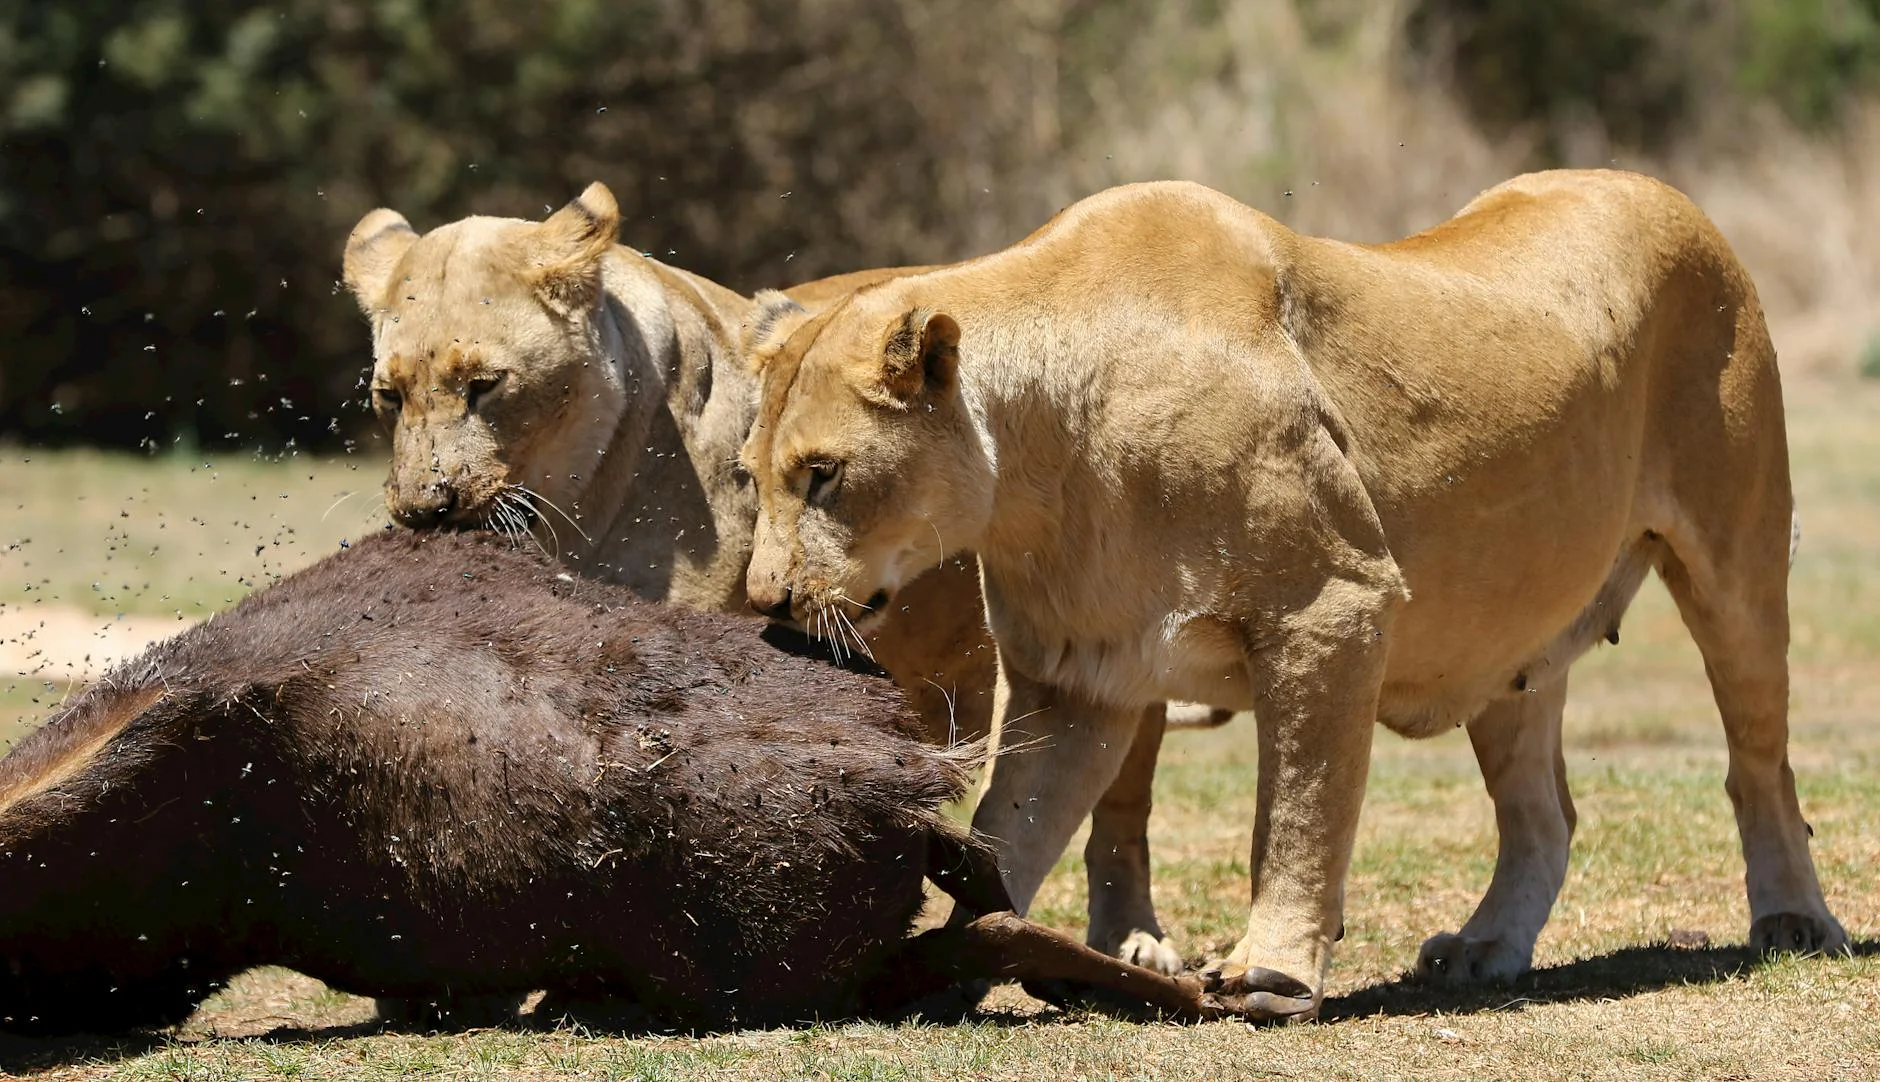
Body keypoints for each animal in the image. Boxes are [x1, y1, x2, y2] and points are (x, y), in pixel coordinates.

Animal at [737, 171, 1849, 1020]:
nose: (767, 603)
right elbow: (1015, 825)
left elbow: (1299, 808)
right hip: (1508, 642)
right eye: (750, 477)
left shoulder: (1333, 604)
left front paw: (1271, 968)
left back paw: (1795, 919)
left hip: (1737, 562)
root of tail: (1667, 192)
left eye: (824, 474)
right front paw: (963, 948)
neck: (1034, 469)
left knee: (1758, 763)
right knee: (1545, 815)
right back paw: (1487, 945)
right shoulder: (1079, 675)